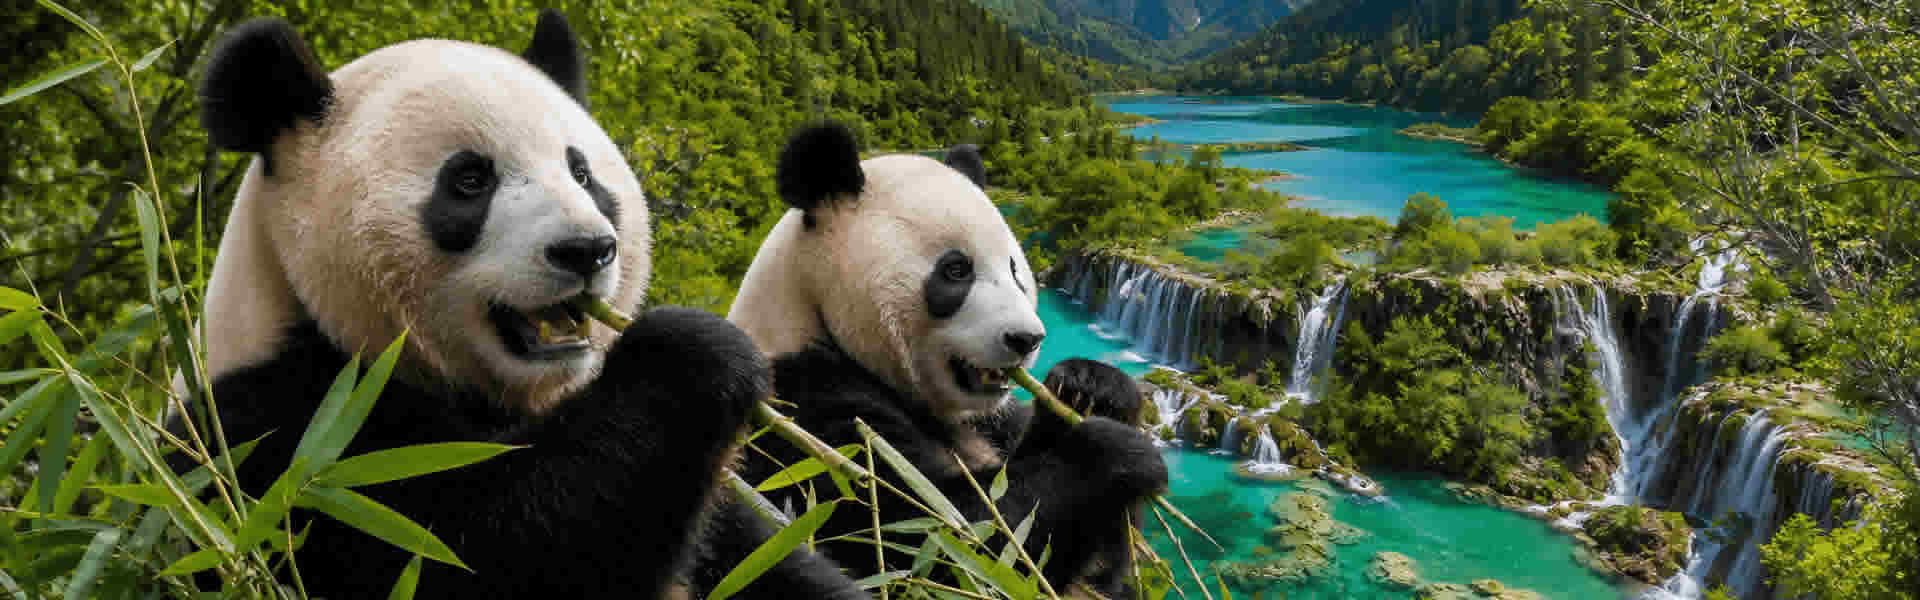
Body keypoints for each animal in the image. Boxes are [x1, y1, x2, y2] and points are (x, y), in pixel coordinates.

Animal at [189, 12, 863, 599]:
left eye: (583, 173)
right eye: (469, 180)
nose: (586, 250)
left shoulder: (716, 512)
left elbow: (768, 561)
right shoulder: (291, 447)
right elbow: (472, 554)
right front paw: (696, 352)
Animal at [726, 123, 1170, 596]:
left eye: (1015, 269)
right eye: (956, 270)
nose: (1026, 339)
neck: (809, 313)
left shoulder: (994, 419)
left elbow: (1102, 572)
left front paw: (1092, 388)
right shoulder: (803, 415)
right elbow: (943, 541)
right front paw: (1116, 454)